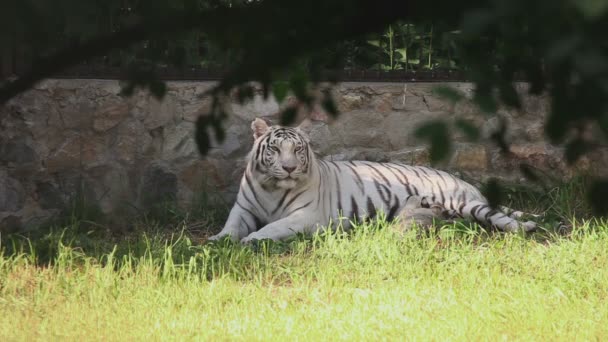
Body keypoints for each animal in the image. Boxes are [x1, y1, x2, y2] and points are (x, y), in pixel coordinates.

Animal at [209, 117, 536, 243]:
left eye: (297, 150)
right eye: (275, 149)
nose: (289, 168)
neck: (272, 188)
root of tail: (465, 182)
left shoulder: (307, 216)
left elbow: (273, 227)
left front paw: (252, 239)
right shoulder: (244, 209)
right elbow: (230, 227)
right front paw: (217, 241)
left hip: (465, 203)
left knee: (500, 218)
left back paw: (526, 228)